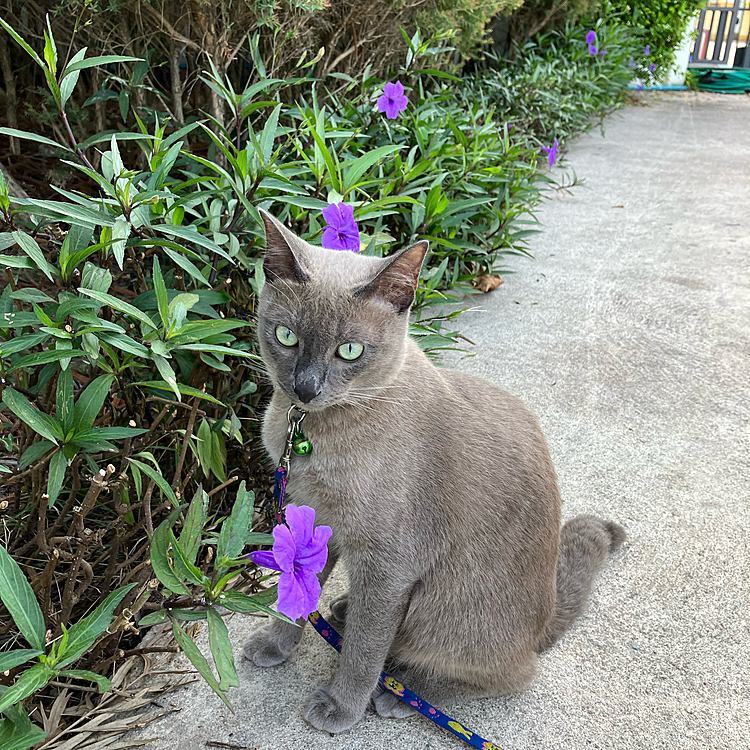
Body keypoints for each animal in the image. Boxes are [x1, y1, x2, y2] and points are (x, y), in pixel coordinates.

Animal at [244, 212, 624, 736]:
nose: (305, 387)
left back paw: (402, 691)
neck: (311, 434)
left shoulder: (389, 563)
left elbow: (363, 650)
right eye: (286, 337)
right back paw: (343, 611)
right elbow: (297, 594)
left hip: (445, 612)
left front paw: (340, 707)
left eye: (350, 349)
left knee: (509, 674)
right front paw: (275, 644)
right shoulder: (313, 520)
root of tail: (544, 620)